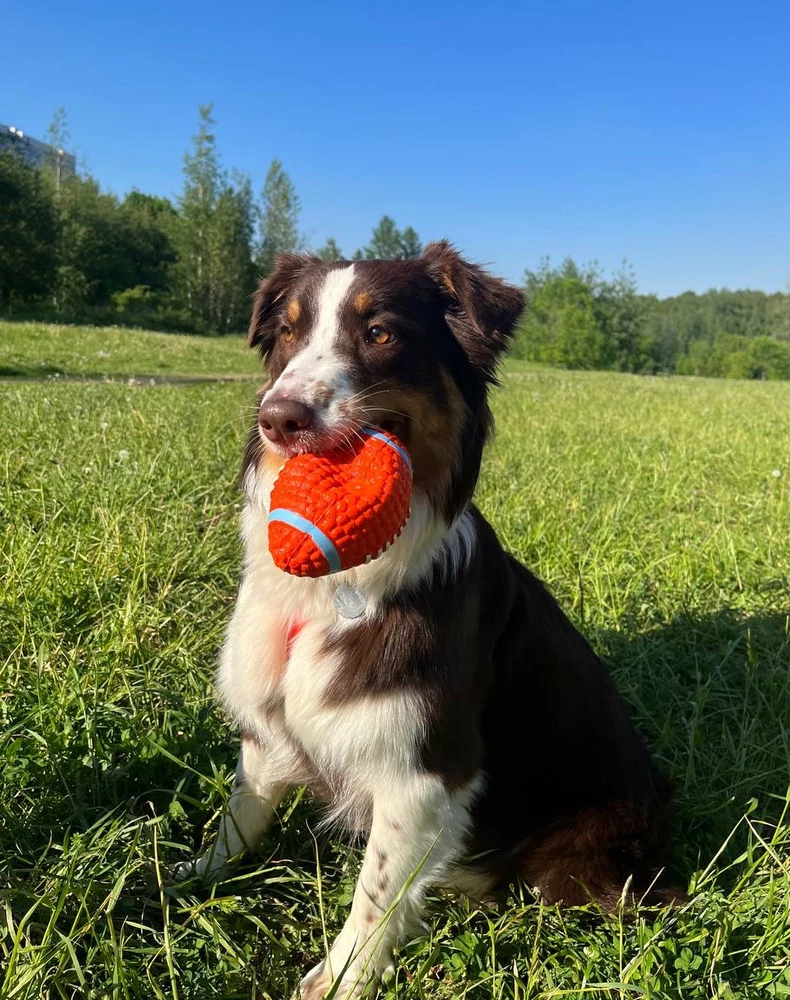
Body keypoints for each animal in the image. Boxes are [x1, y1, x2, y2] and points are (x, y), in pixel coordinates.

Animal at [178, 244, 676, 1000]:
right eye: (288, 332)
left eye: (381, 333)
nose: (279, 417)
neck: (339, 591)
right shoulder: (267, 726)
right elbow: (244, 811)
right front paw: (195, 877)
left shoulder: (426, 770)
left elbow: (377, 889)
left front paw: (343, 978)